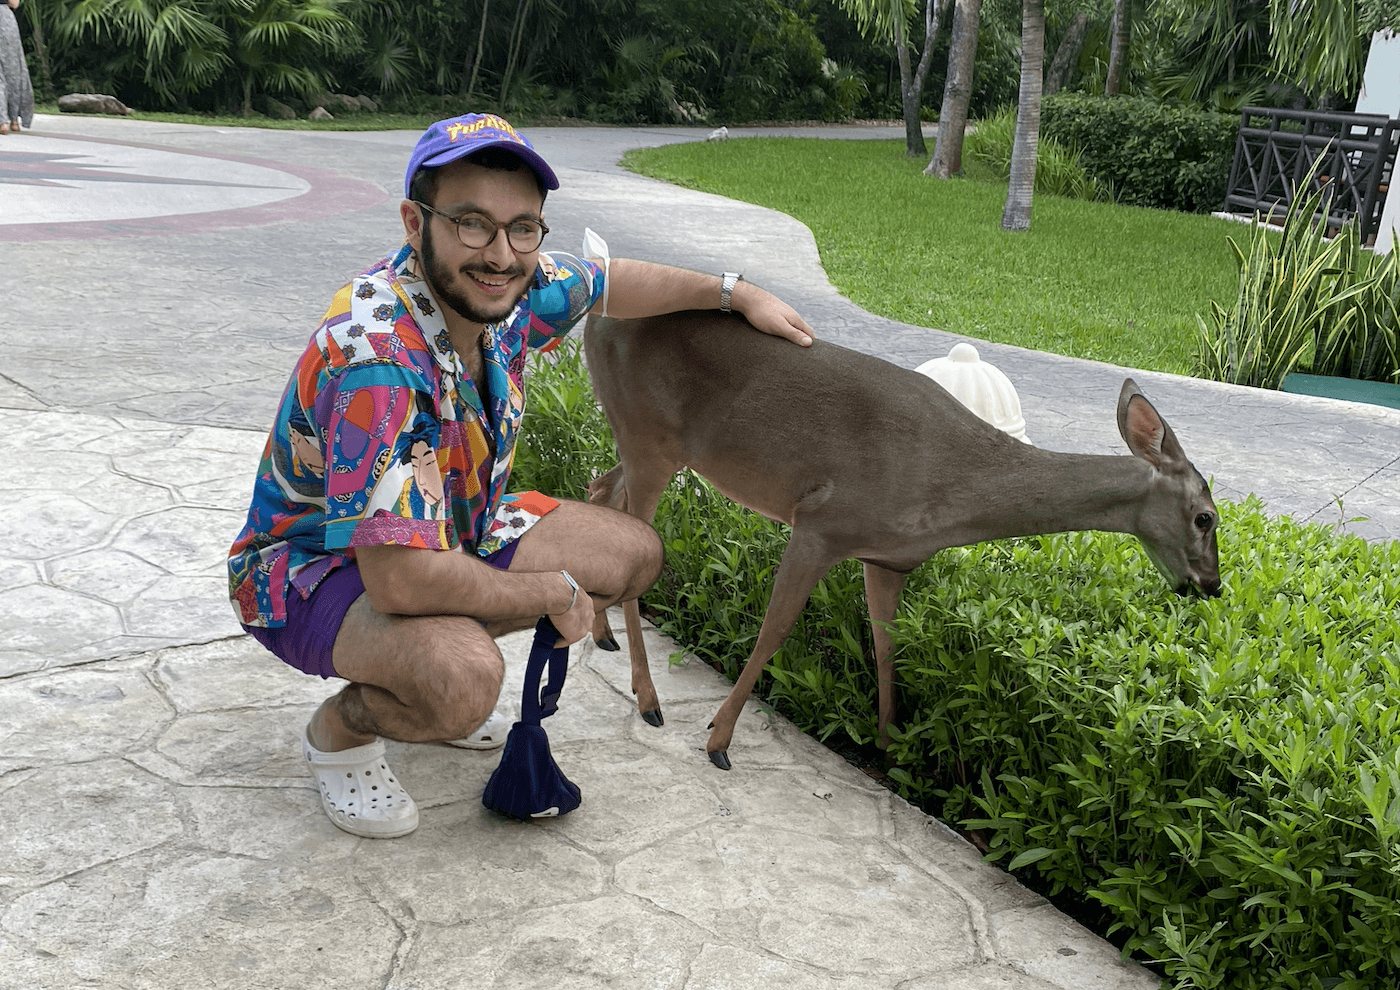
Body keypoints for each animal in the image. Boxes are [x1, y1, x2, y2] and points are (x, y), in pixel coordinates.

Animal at [574, 308, 1220, 767]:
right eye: (1206, 518)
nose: (1211, 585)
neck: (956, 488)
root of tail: (597, 316)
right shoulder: (822, 521)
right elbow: (775, 629)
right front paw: (719, 739)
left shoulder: (887, 557)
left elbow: (888, 646)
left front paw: (889, 748)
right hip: (649, 434)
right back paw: (649, 700)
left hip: (646, 442)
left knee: (600, 489)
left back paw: (602, 636)